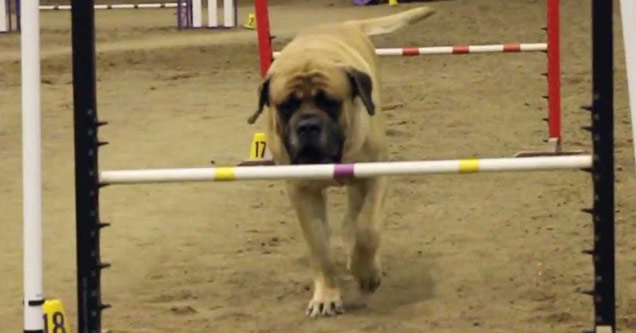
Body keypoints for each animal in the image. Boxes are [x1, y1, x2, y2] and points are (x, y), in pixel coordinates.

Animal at [247, 6, 432, 316]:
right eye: (287, 106)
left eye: (330, 103)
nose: (307, 126)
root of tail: (345, 24)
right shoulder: (302, 193)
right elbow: (319, 248)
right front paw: (326, 295)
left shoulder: (374, 176)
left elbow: (367, 229)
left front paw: (367, 273)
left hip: (358, 180)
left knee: (353, 222)